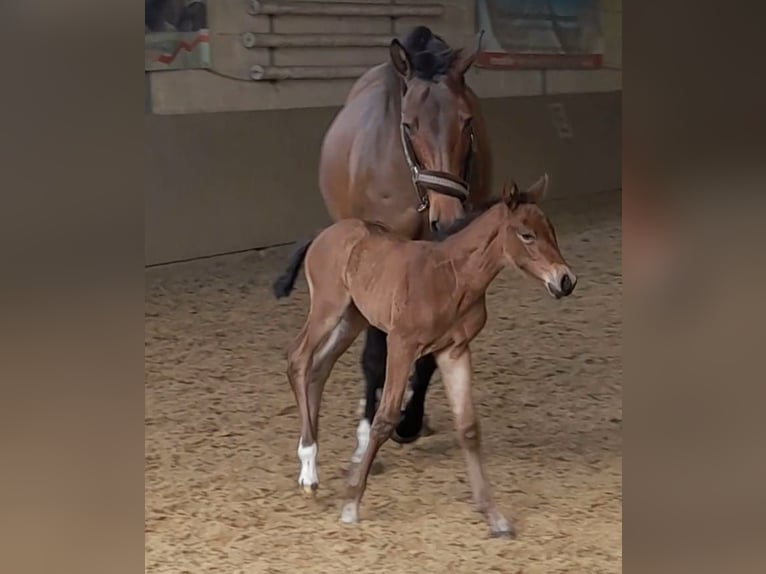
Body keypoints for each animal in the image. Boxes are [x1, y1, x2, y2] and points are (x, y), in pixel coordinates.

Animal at [276, 177, 576, 540]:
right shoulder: (401, 344)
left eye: (552, 231)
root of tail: (323, 234)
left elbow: (468, 427)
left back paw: (311, 466)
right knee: (299, 358)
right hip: (328, 308)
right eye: (526, 235)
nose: (566, 280)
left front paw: (495, 517)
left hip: (353, 318)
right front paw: (351, 505)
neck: (452, 277)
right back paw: (308, 470)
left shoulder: (454, 350)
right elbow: (384, 420)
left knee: (320, 368)